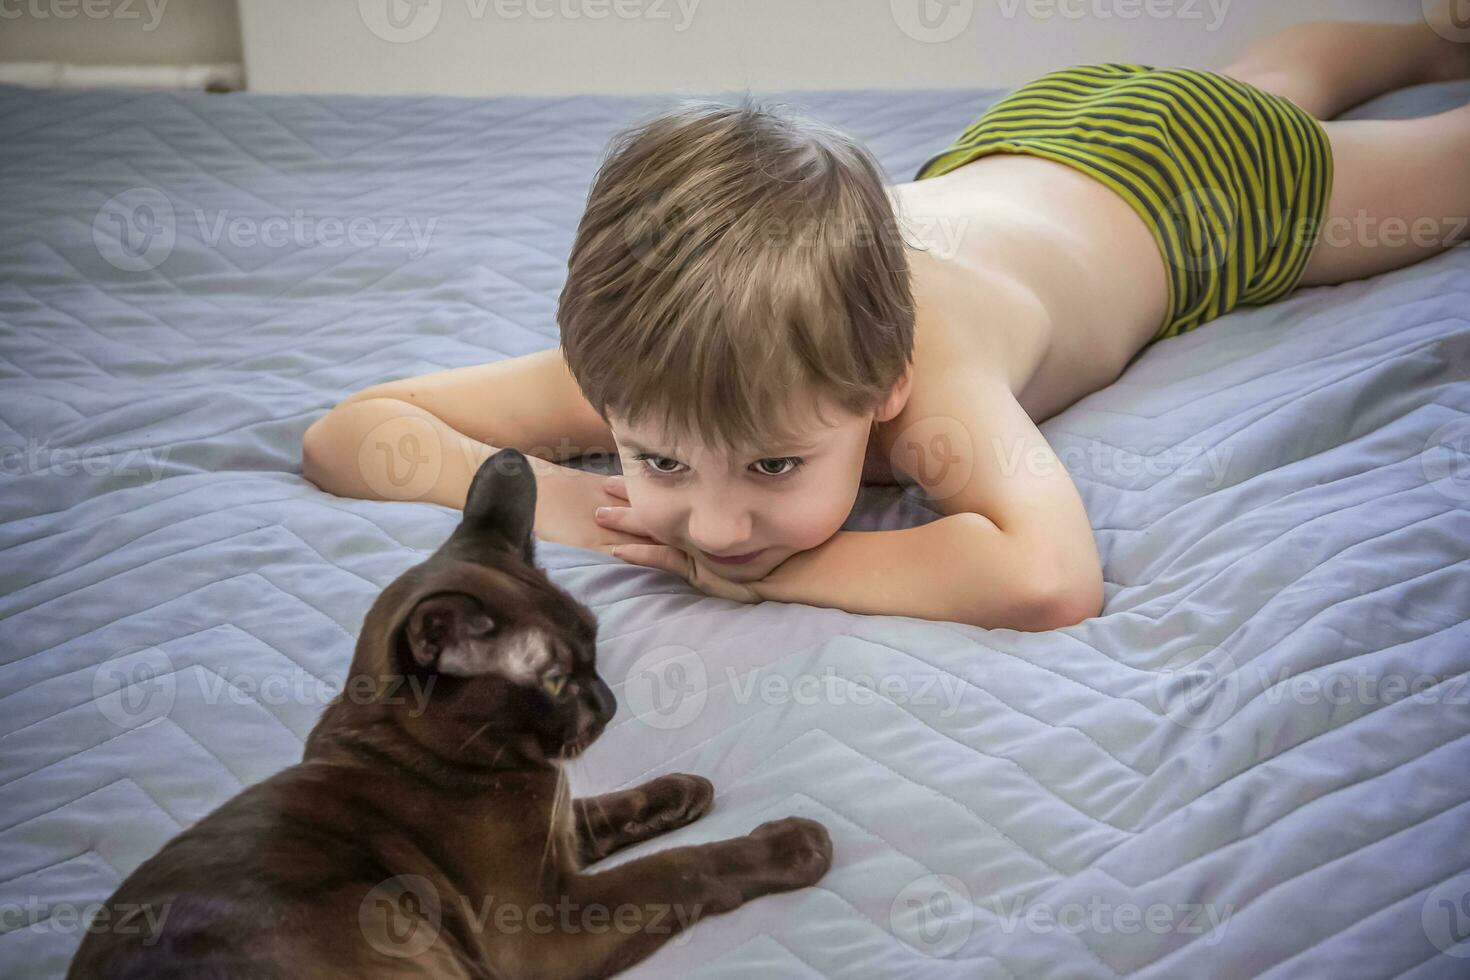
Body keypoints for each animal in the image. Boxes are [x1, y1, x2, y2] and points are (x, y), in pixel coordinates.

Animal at [69, 449, 834, 980]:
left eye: (594, 643)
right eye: (556, 680)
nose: (609, 703)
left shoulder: (558, 837)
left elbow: (611, 809)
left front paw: (685, 791)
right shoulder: (544, 922)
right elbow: (680, 868)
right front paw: (792, 843)